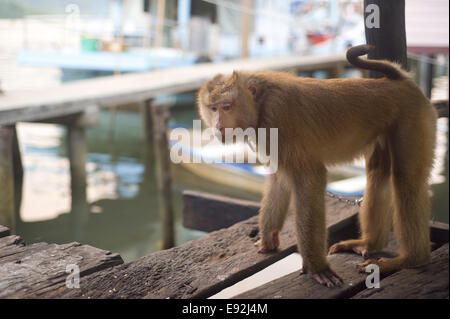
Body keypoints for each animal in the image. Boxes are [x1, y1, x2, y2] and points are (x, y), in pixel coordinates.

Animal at [196, 45, 436, 288]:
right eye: (213, 108)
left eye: (227, 107)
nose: (217, 125)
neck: (261, 103)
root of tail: (401, 83)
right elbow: (279, 179)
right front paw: (268, 239)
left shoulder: (279, 118)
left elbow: (309, 177)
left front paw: (316, 267)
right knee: (379, 172)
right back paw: (370, 243)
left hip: (414, 117)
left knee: (406, 179)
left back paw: (412, 258)